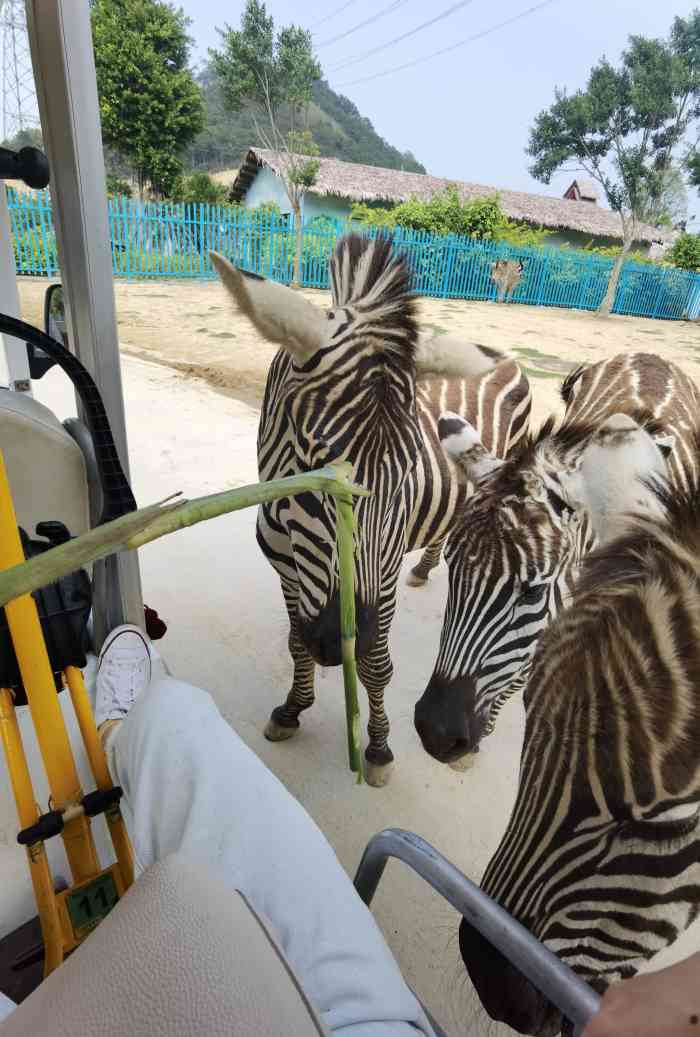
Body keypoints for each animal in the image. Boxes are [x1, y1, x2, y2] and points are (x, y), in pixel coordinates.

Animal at [213, 237, 530, 783]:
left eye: (408, 472)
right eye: (310, 462)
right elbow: (296, 642)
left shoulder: (380, 574)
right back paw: (426, 569)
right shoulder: (284, 567)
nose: (339, 642)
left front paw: (378, 748)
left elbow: (377, 666)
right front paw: (292, 710)